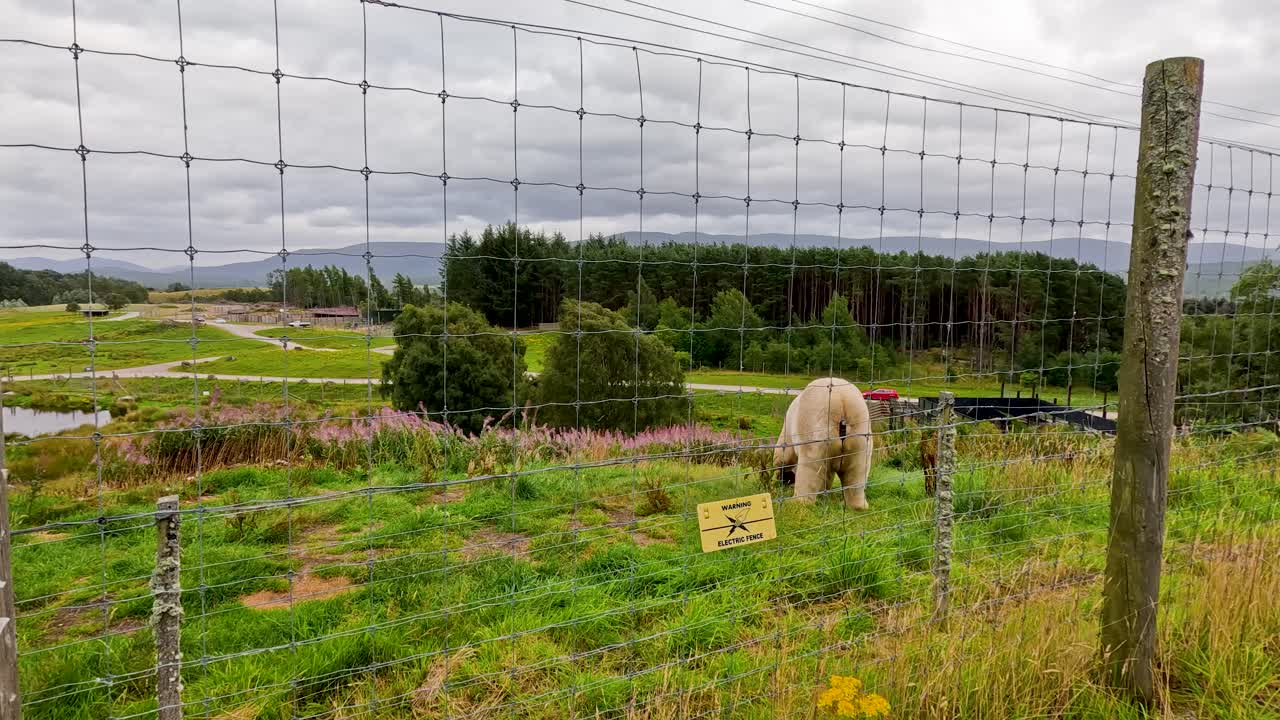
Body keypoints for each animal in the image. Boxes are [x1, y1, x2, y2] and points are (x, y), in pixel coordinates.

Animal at [772, 377, 874, 509]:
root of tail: (843, 402)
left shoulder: (789, 430)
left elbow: (783, 456)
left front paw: (774, 479)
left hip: (816, 427)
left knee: (810, 466)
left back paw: (798, 502)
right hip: (860, 436)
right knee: (856, 471)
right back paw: (857, 506)